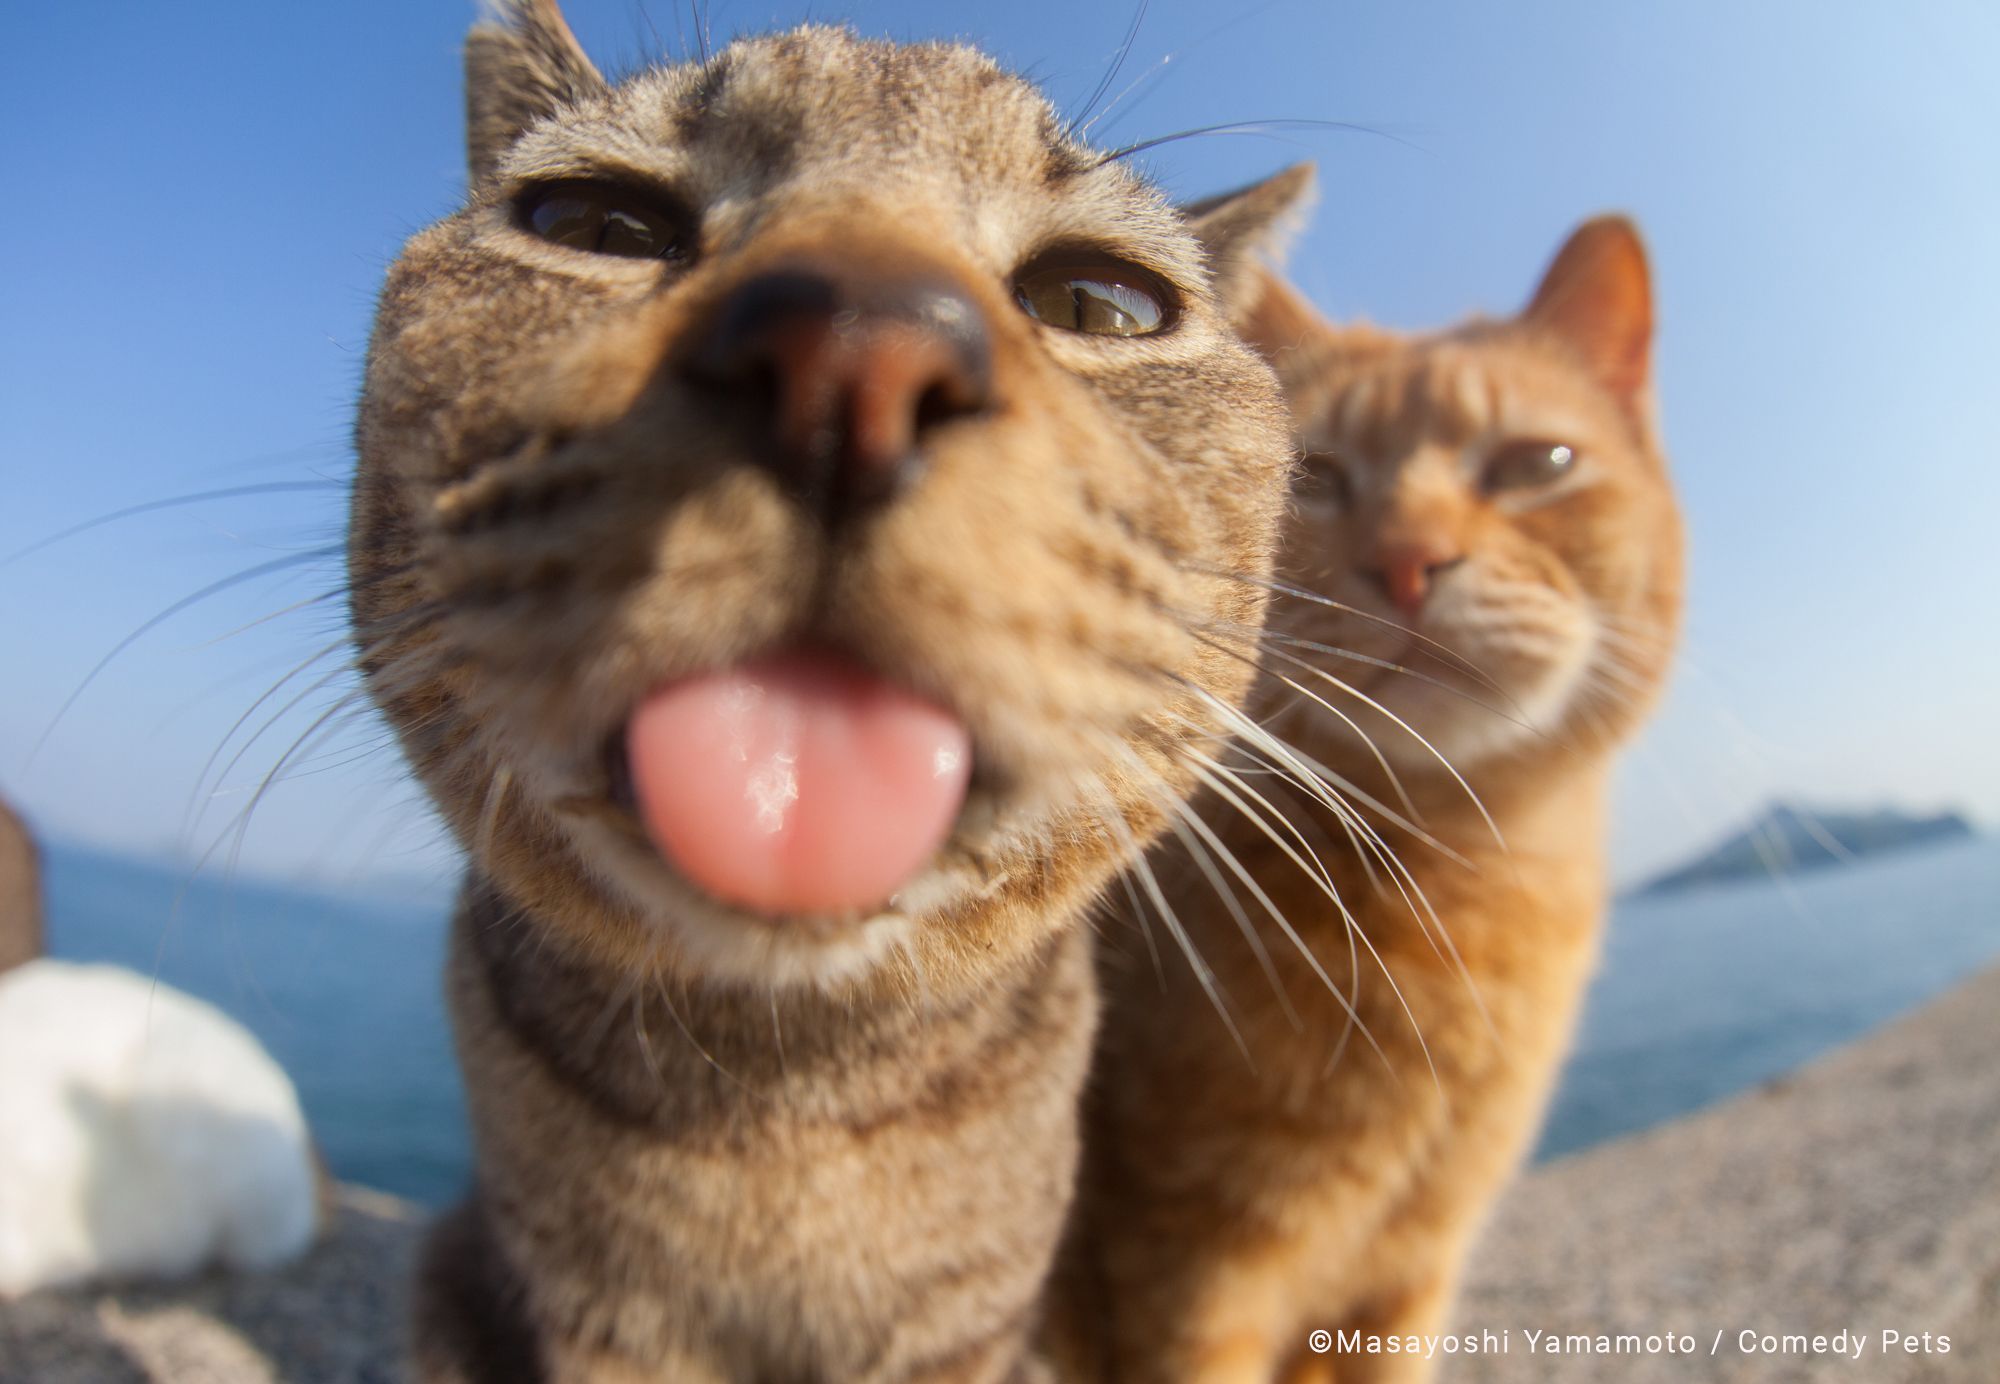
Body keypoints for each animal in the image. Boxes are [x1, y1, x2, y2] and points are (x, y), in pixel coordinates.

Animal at [346, 5, 1312, 1376]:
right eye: (596, 224)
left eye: (1101, 302)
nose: (857, 347)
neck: (780, 1106)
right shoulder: (592, 1316)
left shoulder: (971, 1325)